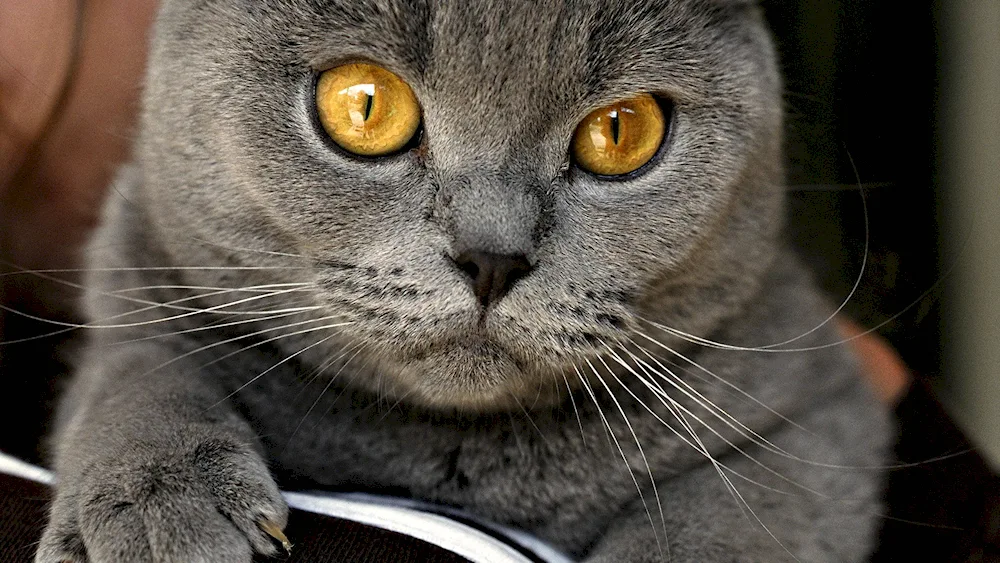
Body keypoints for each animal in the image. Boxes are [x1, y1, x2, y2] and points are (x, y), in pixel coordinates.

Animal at [35, 0, 892, 560]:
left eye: (622, 131)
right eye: (364, 105)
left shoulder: (818, 403)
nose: (492, 257)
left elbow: (716, 521)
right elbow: (137, 369)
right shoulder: (135, 261)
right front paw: (161, 505)